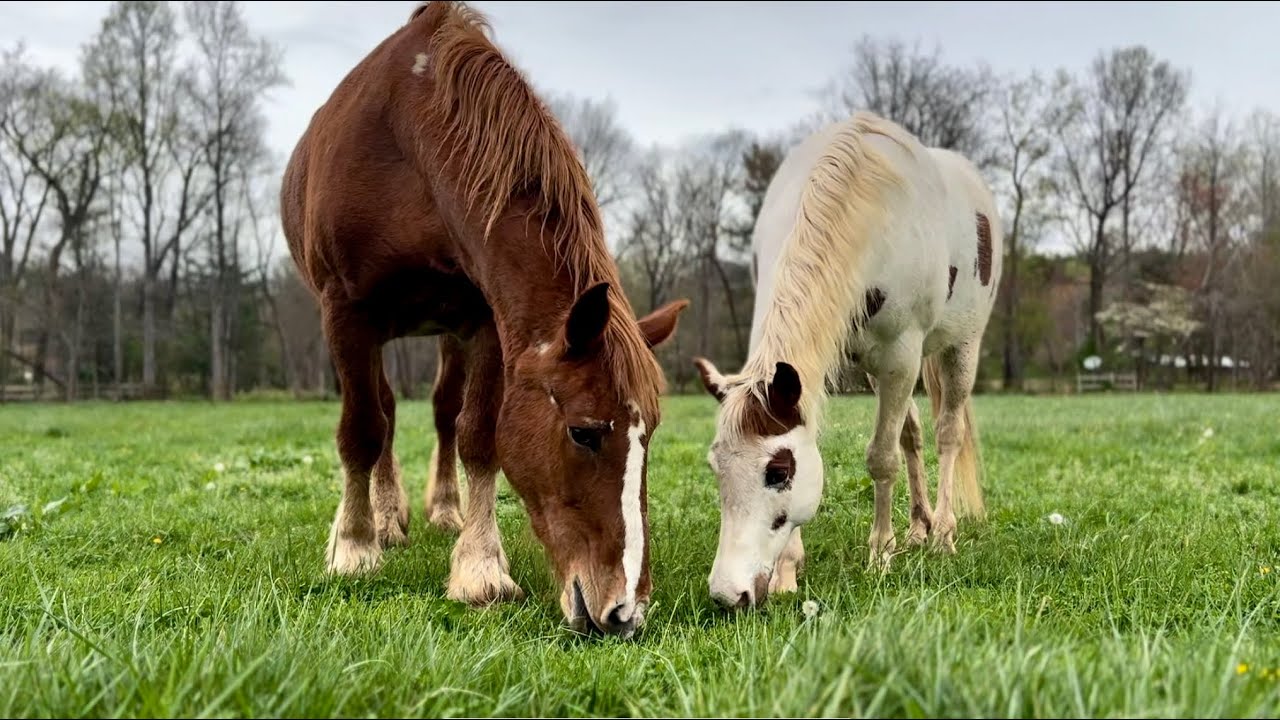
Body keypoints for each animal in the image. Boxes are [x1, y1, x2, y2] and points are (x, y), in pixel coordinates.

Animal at [280, 0, 689, 638]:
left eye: (649, 435)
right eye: (584, 431)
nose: (625, 611)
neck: (408, 147)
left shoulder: (484, 320)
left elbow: (477, 434)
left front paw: (479, 568)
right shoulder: (346, 311)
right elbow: (363, 429)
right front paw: (353, 546)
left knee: (442, 411)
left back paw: (442, 509)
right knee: (383, 411)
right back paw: (386, 518)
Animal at [692, 111, 1001, 609]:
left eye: (778, 472)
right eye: (716, 467)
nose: (728, 594)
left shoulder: (900, 356)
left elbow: (881, 458)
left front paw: (880, 555)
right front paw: (788, 569)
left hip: (961, 348)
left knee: (948, 434)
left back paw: (942, 534)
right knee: (914, 434)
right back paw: (920, 527)